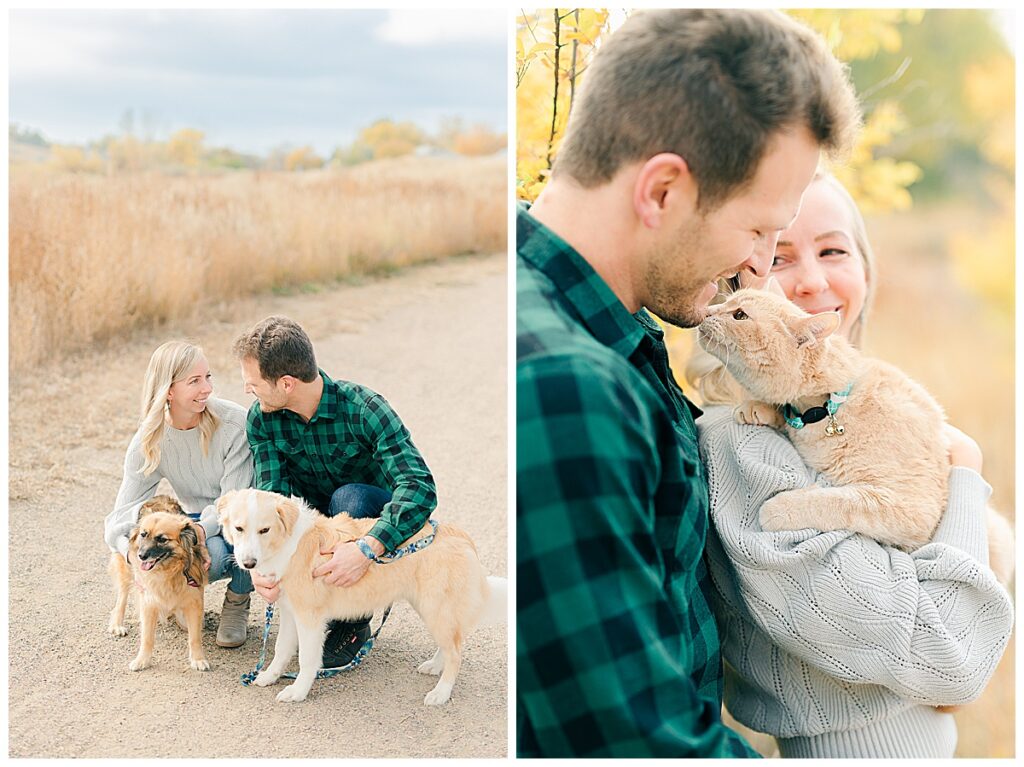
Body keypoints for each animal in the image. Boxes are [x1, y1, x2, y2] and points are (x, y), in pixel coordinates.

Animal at [108, 497, 209, 671]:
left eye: (162, 539)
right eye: (143, 534)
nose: (141, 556)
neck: (169, 570)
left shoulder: (194, 599)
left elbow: (195, 637)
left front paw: (198, 659)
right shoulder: (148, 600)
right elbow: (147, 637)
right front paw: (142, 660)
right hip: (126, 569)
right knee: (121, 597)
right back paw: (117, 625)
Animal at [218, 487, 505, 704]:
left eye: (264, 530)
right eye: (239, 528)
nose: (248, 564)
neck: (289, 544)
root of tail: (461, 537)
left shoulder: (310, 618)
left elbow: (307, 659)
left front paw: (298, 691)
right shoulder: (290, 612)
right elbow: (281, 649)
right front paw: (269, 676)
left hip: (435, 608)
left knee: (456, 652)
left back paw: (441, 693)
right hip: (432, 608)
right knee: (450, 644)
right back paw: (435, 666)